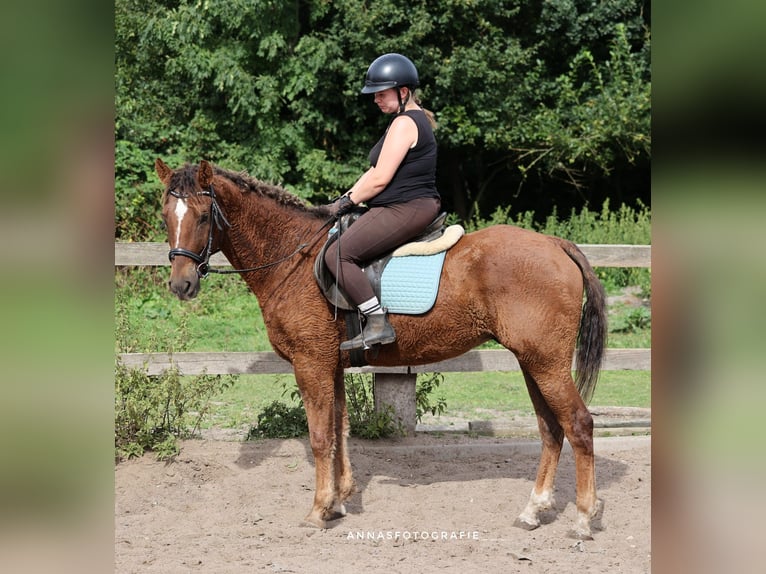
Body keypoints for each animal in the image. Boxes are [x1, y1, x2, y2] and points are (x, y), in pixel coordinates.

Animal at [158, 158, 612, 540]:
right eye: (166, 217)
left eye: (203, 216)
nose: (182, 284)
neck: (294, 256)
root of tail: (554, 244)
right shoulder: (331, 364)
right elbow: (340, 430)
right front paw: (339, 502)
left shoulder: (310, 363)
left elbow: (320, 436)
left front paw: (317, 511)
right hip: (532, 362)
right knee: (551, 429)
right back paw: (533, 511)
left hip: (547, 363)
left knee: (578, 425)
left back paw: (582, 519)